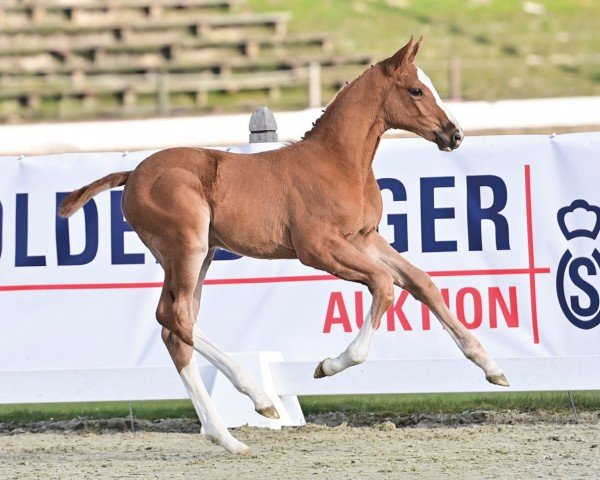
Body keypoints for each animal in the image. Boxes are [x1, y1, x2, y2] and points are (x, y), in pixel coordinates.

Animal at [58, 38, 508, 454]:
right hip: (186, 248)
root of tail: (133, 173)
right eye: (416, 90)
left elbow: (420, 282)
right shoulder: (317, 248)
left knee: (174, 329)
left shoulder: (364, 239)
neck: (338, 163)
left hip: (202, 255)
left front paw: (492, 368)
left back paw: (226, 438)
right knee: (177, 316)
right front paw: (328, 366)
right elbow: (383, 285)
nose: (455, 135)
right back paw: (259, 398)